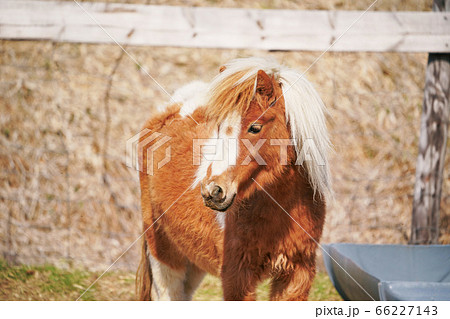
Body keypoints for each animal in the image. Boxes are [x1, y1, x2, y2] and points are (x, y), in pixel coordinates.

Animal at [136, 58, 330, 302]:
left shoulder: (296, 276)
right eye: (218, 127)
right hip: (164, 255)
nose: (212, 191)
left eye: (255, 127)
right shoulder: (236, 277)